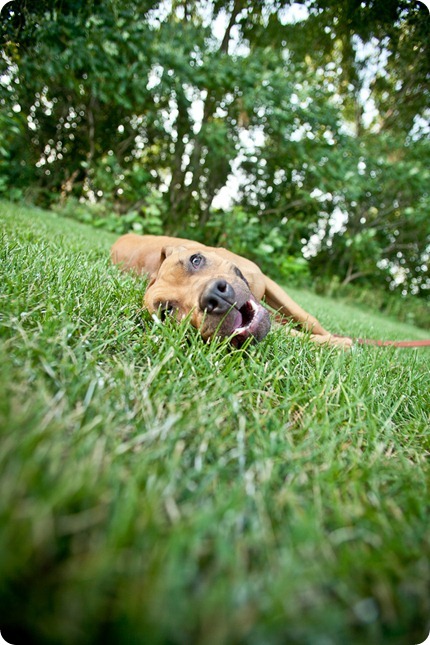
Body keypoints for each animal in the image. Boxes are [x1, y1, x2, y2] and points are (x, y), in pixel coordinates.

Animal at [111, 233, 352, 348]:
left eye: (195, 260)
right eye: (167, 312)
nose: (214, 296)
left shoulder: (266, 281)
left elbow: (308, 319)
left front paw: (334, 337)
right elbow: (294, 333)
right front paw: (341, 344)